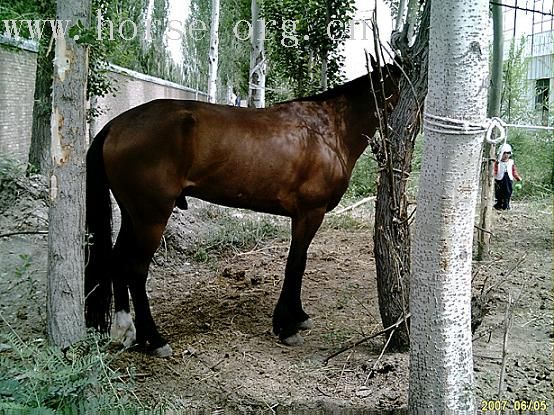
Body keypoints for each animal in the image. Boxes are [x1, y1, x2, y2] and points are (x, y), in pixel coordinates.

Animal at [84, 61, 398, 358]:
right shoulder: (310, 212)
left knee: (117, 261)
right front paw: (286, 327)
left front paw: (298, 317)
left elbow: (300, 262)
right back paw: (155, 340)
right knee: (136, 269)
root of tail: (115, 126)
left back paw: (126, 331)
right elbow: (295, 264)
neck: (328, 127)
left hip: (132, 215)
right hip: (151, 217)